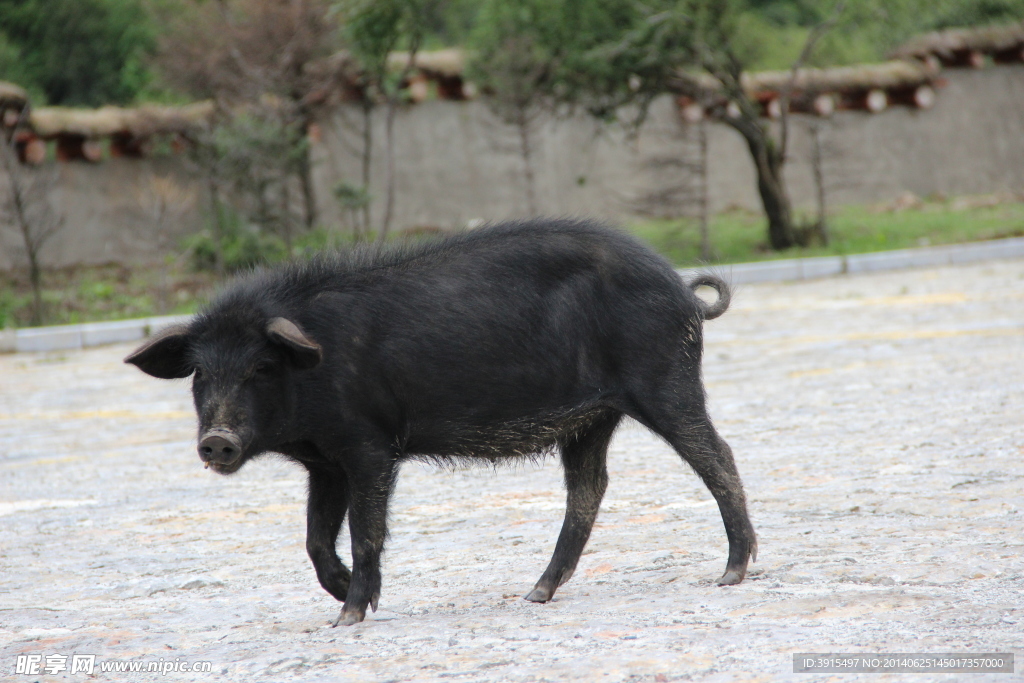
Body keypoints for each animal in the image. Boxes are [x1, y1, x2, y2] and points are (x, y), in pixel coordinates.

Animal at [125, 219, 753, 626]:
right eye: (200, 374)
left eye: (260, 367)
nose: (216, 441)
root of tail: (685, 293)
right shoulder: (324, 463)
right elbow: (314, 538)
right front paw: (344, 598)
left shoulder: (369, 446)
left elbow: (365, 529)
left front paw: (350, 617)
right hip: (592, 418)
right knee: (589, 489)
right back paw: (535, 594)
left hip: (665, 381)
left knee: (716, 455)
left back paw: (731, 574)